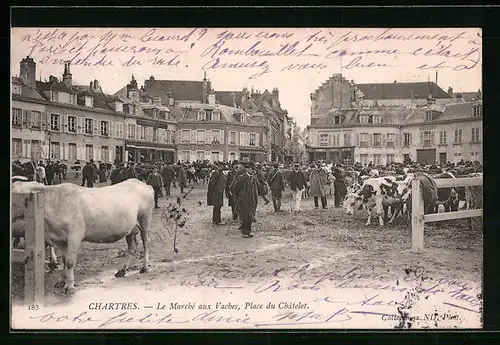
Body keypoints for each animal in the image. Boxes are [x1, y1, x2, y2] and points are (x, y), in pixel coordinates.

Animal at [12, 177, 154, 292]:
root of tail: (141, 183)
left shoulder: (74, 236)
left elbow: (70, 262)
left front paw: (69, 286)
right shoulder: (60, 239)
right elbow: (64, 260)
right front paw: (62, 280)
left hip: (145, 220)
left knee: (146, 242)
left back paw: (145, 267)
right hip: (130, 229)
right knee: (132, 247)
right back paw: (122, 270)